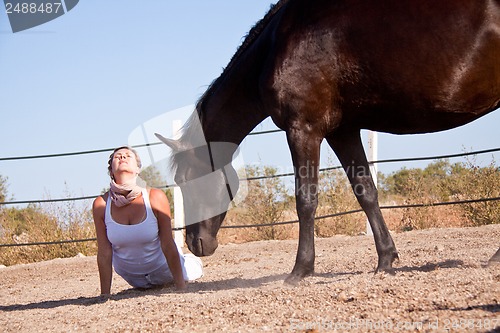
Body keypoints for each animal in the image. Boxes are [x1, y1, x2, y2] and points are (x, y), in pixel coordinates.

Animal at [157, 0, 500, 282]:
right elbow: (365, 192)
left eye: (187, 179)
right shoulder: (342, 131)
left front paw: (300, 270)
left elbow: (306, 200)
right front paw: (385, 260)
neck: (276, 46)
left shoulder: (303, 129)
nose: (195, 243)